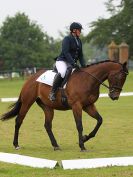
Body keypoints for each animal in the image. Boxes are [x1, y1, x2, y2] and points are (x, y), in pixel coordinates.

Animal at [0, 60, 128, 151]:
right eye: (119, 77)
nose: (114, 96)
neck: (88, 80)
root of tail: (31, 78)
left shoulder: (88, 105)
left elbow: (99, 120)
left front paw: (85, 138)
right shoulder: (77, 106)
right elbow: (79, 125)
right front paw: (82, 145)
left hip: (48, 107)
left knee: (47, 125)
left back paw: (56, 145)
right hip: (27, 102)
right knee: (19, 121)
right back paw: (16, 145)